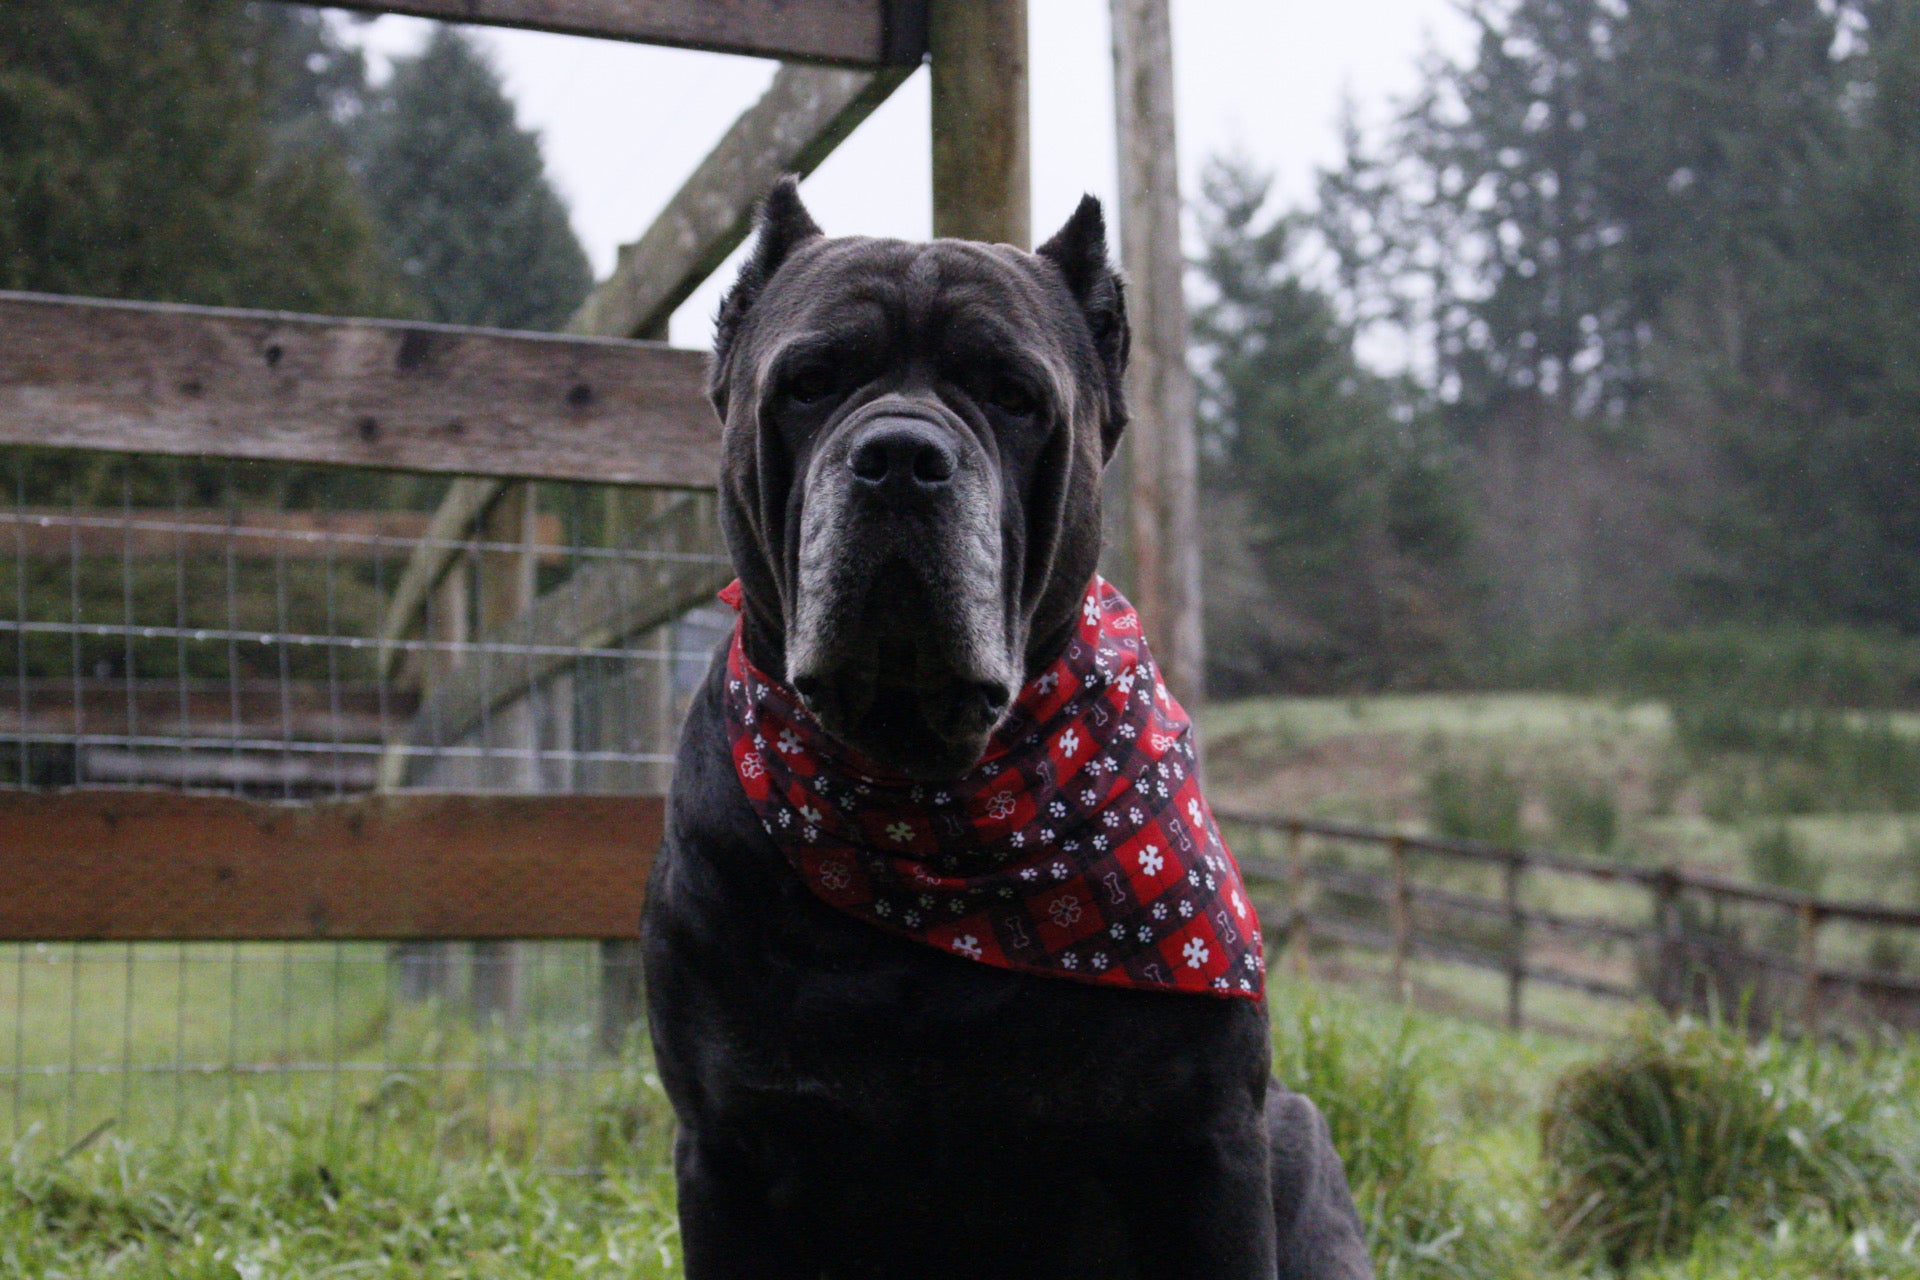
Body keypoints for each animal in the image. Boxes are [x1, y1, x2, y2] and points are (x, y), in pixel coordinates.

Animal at [645, 182, 1382, 1280]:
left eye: (1013, 396)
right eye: (810, 383)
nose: (900, 458)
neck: (935, 804)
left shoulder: (1208, 1140)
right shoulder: (726, 1150)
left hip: (1296, 1135)